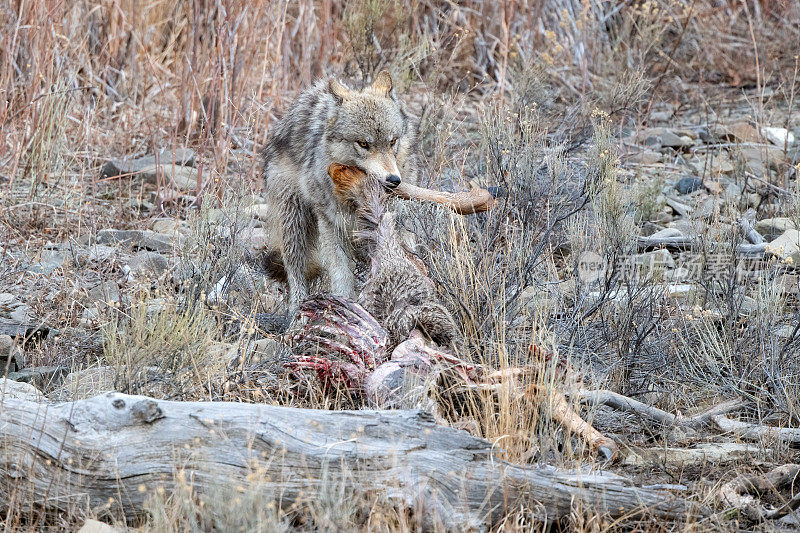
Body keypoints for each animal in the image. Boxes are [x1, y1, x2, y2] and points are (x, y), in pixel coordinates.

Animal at [260, 71, 418, 312]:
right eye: (363, 144)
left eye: (392, 141)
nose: (393, 181)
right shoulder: (332, 225)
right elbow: (341, 274)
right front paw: (345, 304)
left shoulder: (394, 223)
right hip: (294, 222)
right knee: (295, 271)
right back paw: (296, 309)